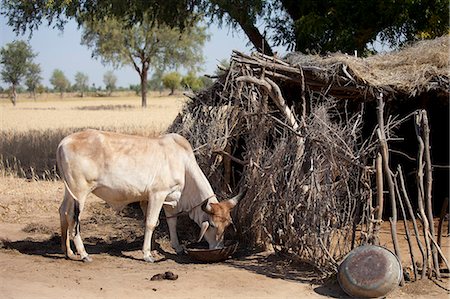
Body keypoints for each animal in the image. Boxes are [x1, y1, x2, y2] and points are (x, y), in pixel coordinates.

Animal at [56, 129, 243, 262]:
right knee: (73, 217)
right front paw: (147, 254)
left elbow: (172, 223)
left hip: (69, 191)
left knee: (62, 211)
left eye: (227, 225)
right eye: (212, 225)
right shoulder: (157, 194)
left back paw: (68, 252)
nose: (218, 247)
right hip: (80, 192)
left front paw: (176, 247)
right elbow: (151, 223)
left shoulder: (170, 199)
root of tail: (63, 142)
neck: (183, 164)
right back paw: (83, 254)